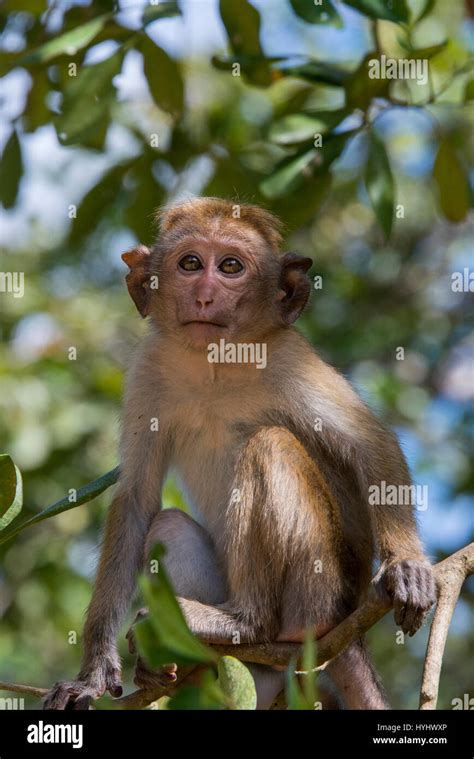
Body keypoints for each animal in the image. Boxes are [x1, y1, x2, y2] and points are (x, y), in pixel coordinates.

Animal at [42, 197, 436, 712]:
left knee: (270, 446)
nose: (205, 296)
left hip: (319, 590)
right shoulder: (149, 368)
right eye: (190, 263)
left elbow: (371, 442)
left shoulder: (290, 357)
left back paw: (247, 623)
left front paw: (407, 565)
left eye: (231, 267)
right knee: (167, 525)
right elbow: (136, 498)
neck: (216, 364)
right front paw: (93, 671)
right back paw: (179, 663)